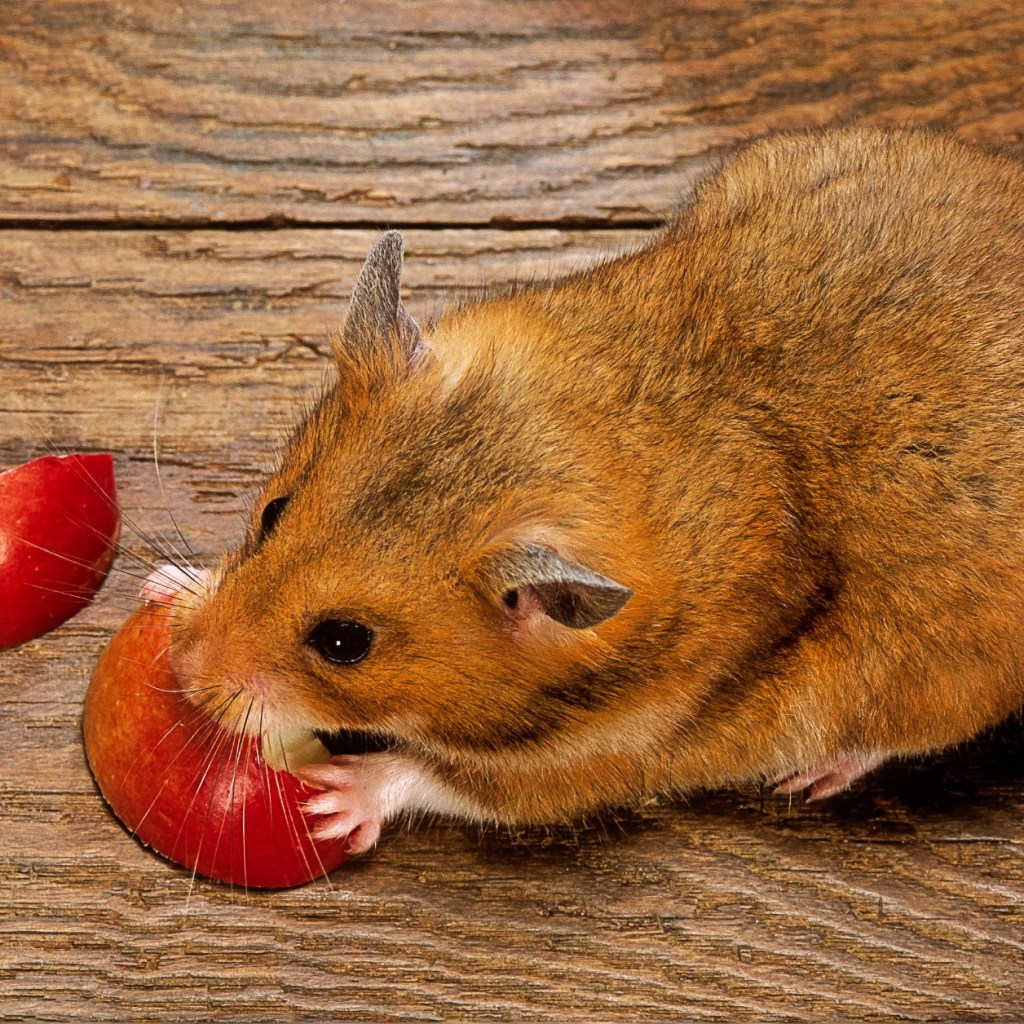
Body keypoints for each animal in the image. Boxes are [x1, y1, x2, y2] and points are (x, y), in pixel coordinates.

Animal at [150, 127, 1024, 853]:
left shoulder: (611, 752)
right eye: (272, 512)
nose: (180, 670)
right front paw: (166, 584)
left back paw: (813, 777)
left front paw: (334, 800)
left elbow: (448, 779)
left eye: (343, 643)